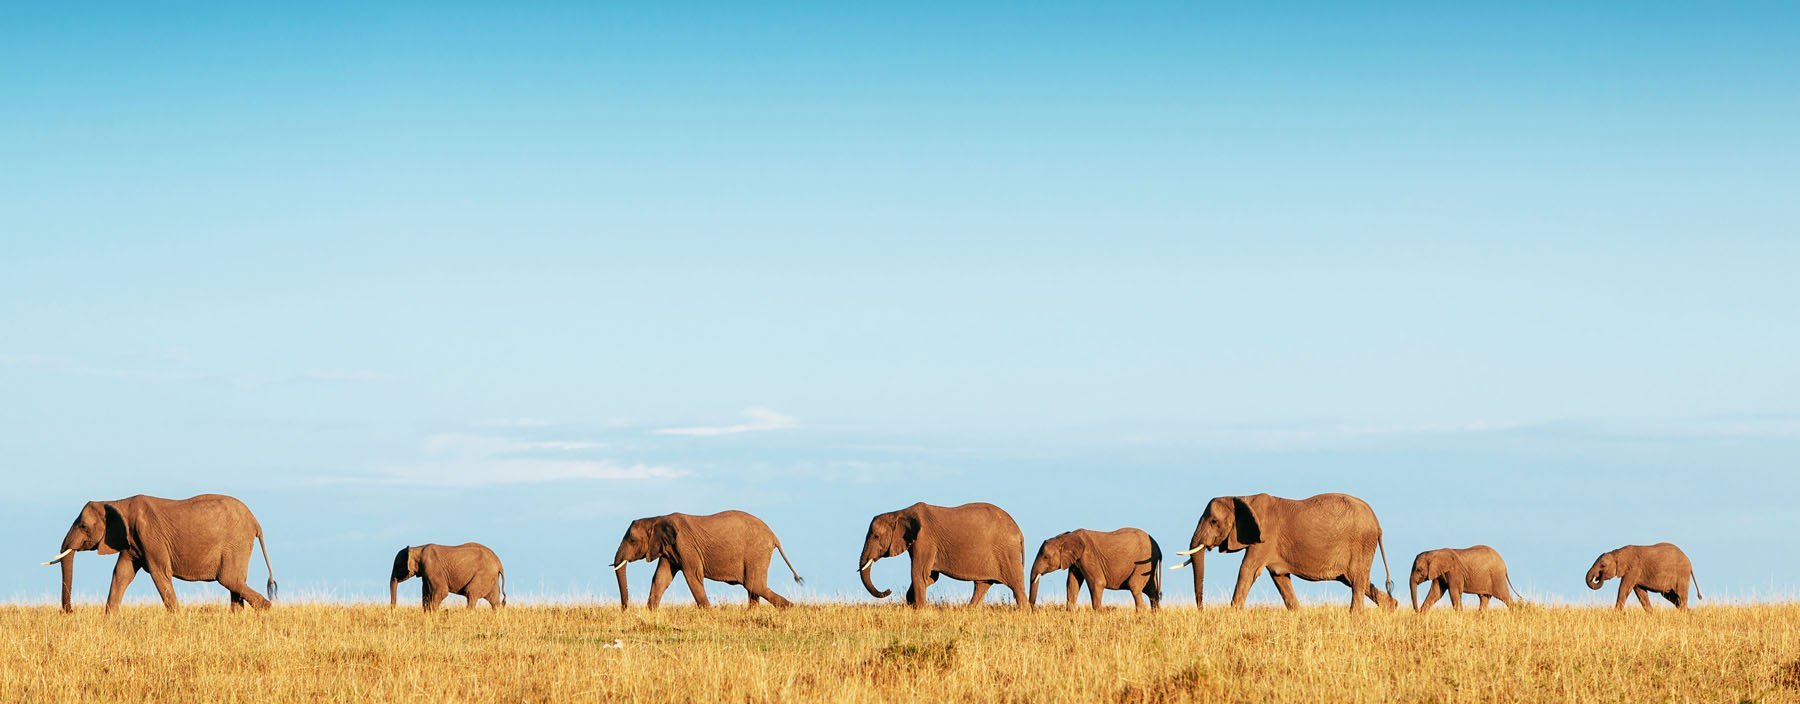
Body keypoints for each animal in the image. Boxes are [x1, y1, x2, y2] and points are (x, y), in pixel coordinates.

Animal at [41, 494, 277, 613]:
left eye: (82, 526)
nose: (69, 612)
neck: (117, 502)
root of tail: (256, 521)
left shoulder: (148, 535)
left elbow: (159, 573)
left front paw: (177, 618)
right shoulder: (131, 541)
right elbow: (121, 574)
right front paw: (110, 619)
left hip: (236, 541)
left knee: (228, 579)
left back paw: (266, 610)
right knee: (235, 582)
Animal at [611, 510, 803, 610]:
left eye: (632, 540)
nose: (625, 610)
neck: (657, 518)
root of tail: (774, 536)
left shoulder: (686, 546)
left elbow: (693, 575)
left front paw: (708, 611)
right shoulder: (668, 549)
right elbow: (661, 578)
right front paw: (650, 611)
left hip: (757, 551)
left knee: (753, 585)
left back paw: (791, 608)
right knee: (753, 587)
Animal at [858, 502, 1027, 609]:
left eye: (876, 536)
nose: (888, 590)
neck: (899, 512)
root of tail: (1019, 532)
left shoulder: (924, 540)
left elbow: (919, 573)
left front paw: (920, 609)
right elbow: (930, 577)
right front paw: (911, 603)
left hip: (1007, 553)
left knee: (1016, 584)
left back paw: (1023, 613)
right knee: (982, 584)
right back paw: (969, 611)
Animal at [1029, 528, 1162, 610]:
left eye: (1046, 557)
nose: (1032, 609)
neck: (1066, 537)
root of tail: (1158, 547)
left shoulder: (1088, 555)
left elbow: (1097, 582)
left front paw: (1098, 613)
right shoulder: (1076, 560)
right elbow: (1072, 584)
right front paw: (1070, 612)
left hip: (1143, 563)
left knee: (1134, 586)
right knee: (1152, 592)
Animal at [1171, 492, 1395, 612]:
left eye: (1213, 521)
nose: (1201, 610)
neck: (1242, 498)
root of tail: (1377, 523)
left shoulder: (1264, 538)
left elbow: (1247, 571)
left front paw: (1233, 613)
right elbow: (1280, 578)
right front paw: (1298, 614)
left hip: (1361, 543)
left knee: (1357, 581)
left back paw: (1354, 616)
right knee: (1358, 581)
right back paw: (1391, 607)